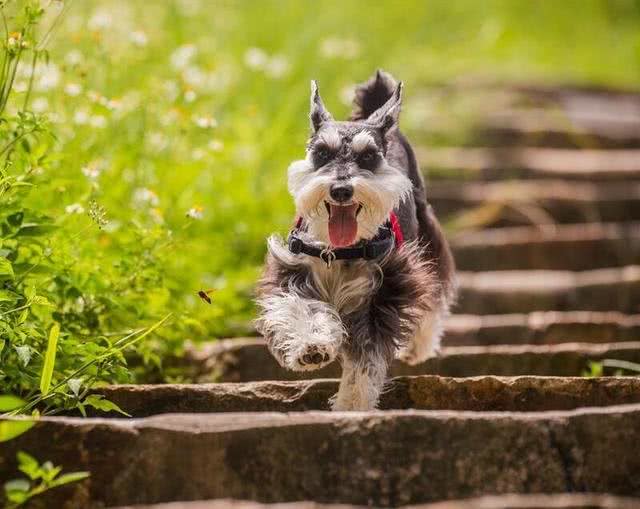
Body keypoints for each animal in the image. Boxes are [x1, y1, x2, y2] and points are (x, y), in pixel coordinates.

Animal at [255, 69, 456, 410]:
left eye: (369, 157)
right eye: (322, 153)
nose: (341, 190)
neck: (339, 250)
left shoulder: (384, 292)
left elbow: (366, 359)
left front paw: (352, 404)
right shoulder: (292, 272)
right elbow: (302, 308)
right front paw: (311, 346)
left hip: (427, 236)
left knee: (434, 291)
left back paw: (419, 345)